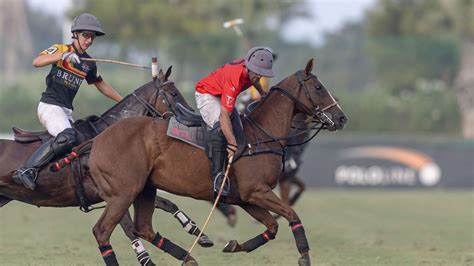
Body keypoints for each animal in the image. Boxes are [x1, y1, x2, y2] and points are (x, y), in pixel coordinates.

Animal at [0, 69, 211, 266]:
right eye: (174, 94)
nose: (194, 118)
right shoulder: (116, 194)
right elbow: (129, 229)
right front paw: (146, 258)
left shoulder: (127, 190)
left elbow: (167, 204)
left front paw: (197, 232)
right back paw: (25, 175)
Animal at [83, 58, 346, 266]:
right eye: (318, 87)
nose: (342, 118)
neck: (261, 135)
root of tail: (97, 139)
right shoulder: (256, 190)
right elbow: (292, 214)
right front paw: (305, 256)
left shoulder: (245, 197)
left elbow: (272, 226)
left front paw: (234, 245)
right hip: (124, 192)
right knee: (107, 229)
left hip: (141, 189)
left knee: (140, 227)